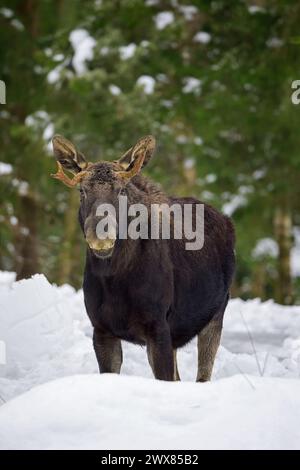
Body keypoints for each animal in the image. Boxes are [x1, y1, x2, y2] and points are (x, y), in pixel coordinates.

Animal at [51, 135, 236, 382]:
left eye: (121, 190)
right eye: (82, 191)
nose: (100, 234)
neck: (114, 279)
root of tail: (226, 219)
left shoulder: (157, 327)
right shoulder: (101, 329)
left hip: (215, 314)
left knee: (202, 376)